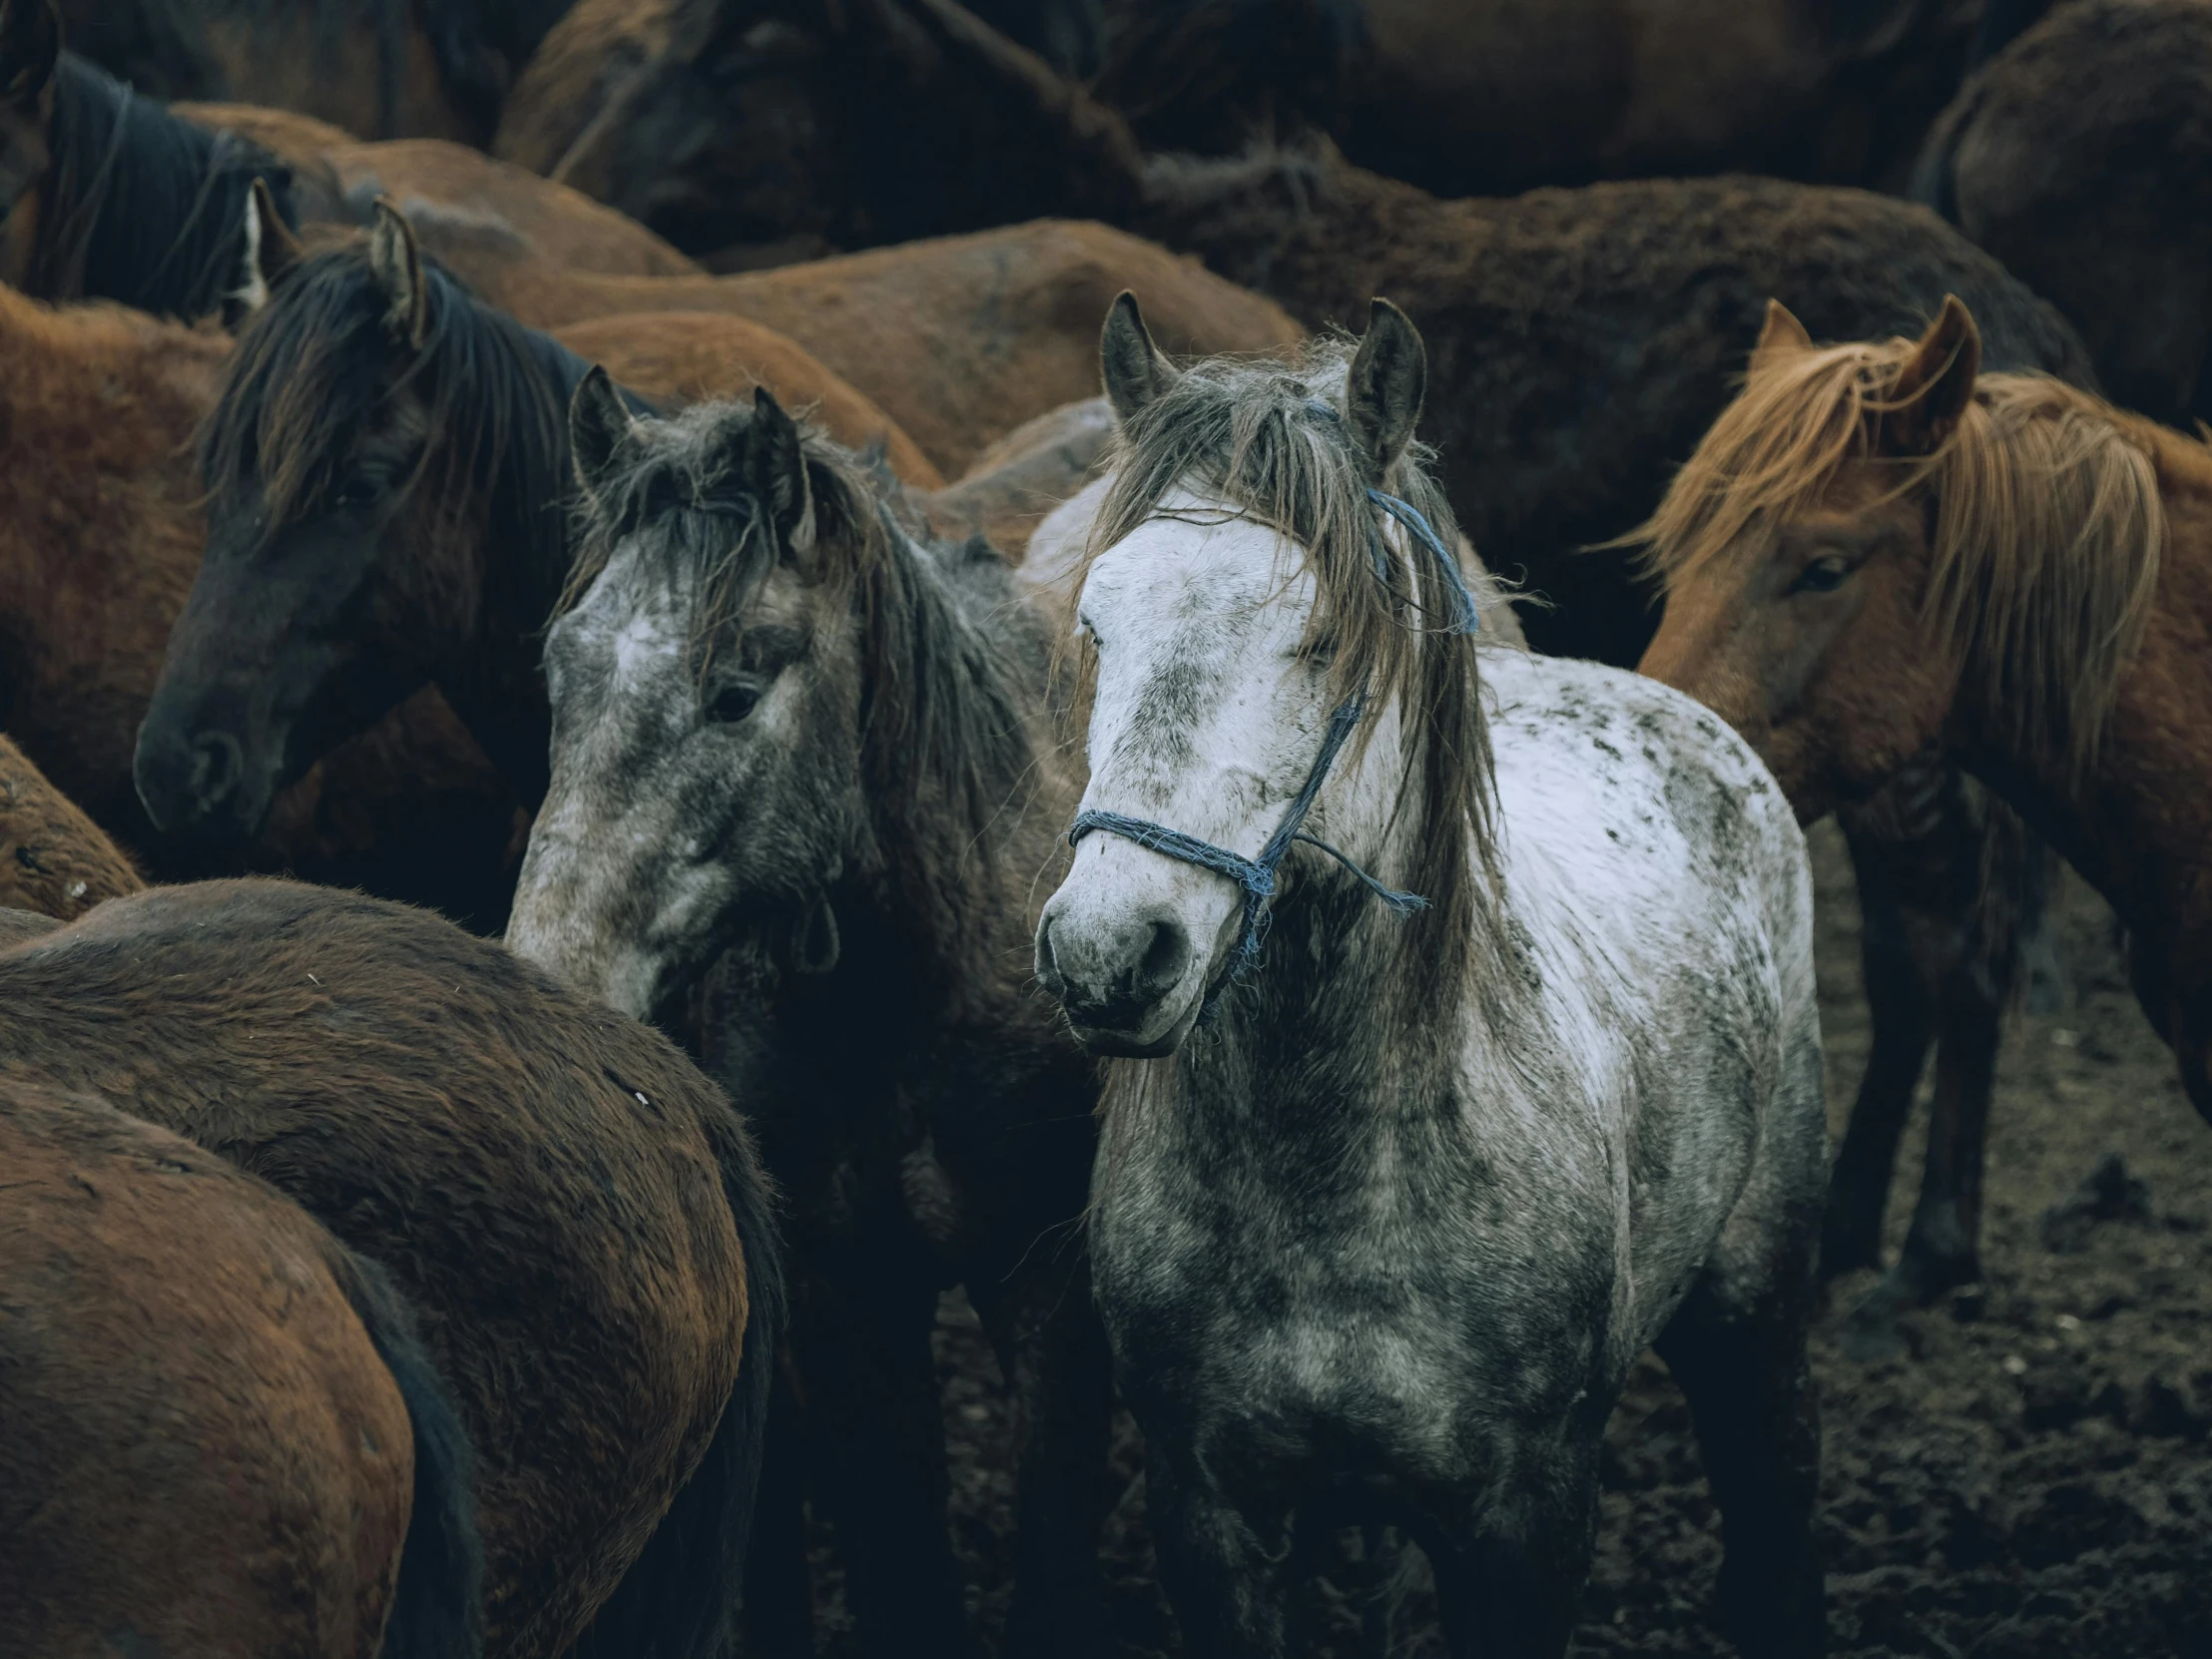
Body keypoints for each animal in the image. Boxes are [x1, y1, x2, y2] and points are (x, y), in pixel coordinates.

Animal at [508, 375, 1114, 1659]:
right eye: (559, 676)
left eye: (734, 692)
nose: (550, 977)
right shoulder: (849, 1311)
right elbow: (903, 1576)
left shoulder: (1048, 1296)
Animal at [1035, 295, 1831, 1659]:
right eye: (1097, 626)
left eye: (1322, 636)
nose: (1105, 952)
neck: (1330, 1173)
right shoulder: (1208, 1512)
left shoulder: (1525, 1520)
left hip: (1754, 1308)